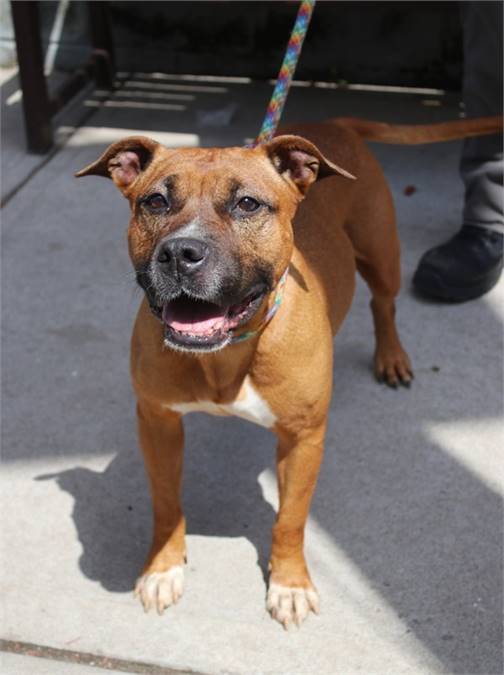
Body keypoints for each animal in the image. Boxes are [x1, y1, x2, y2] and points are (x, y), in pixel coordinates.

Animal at [77, 115, 502, 628]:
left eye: (246, 203)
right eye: (155, 201)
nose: (179, 252)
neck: (228, 353)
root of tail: (334, 122)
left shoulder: (303, 439)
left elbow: (291, 519)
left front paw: (289, 584)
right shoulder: (158, 422)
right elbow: (165, 502)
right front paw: (163, 567)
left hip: (381, 252)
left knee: (384, 303)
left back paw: (391, 357)